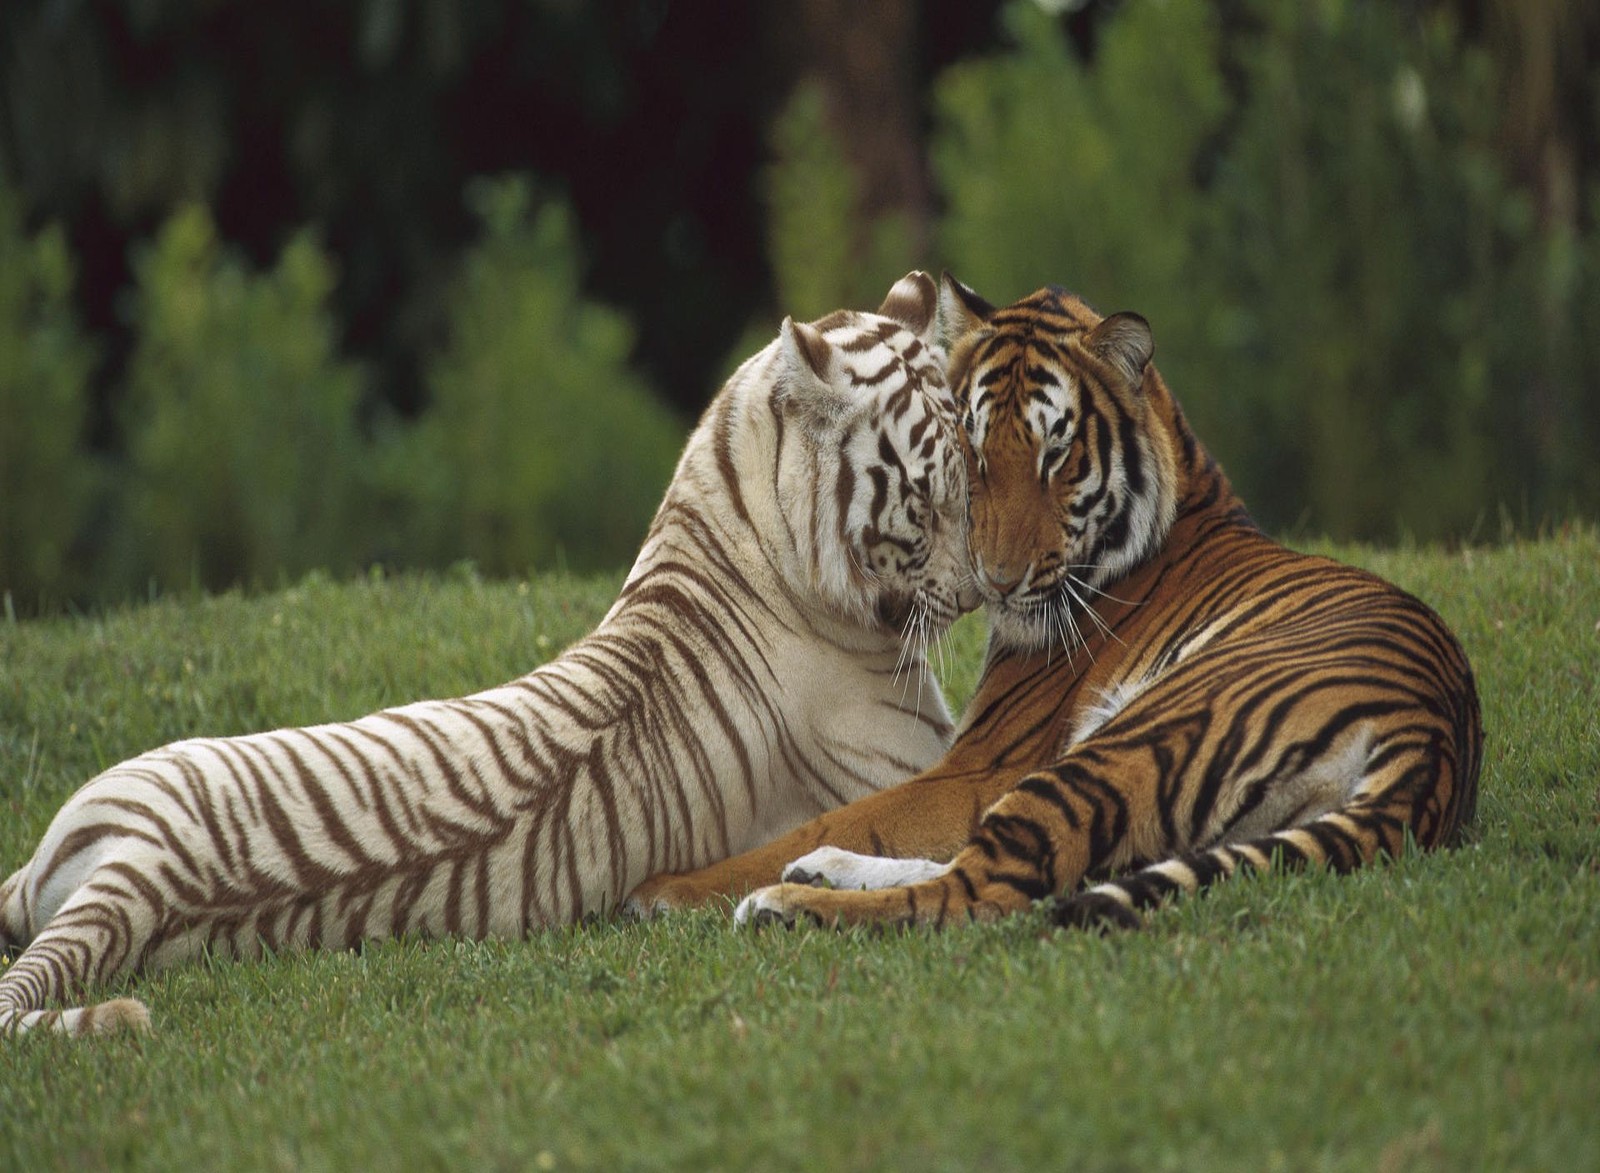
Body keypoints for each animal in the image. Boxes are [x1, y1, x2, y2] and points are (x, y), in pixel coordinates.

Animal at [627, 275, 1484, 921]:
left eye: (1057, 456)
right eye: (973, 450)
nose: (996, 581)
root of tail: (1432, 736)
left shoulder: (982, 764)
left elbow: (845, 813)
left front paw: (669, 889)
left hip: (1129, 740)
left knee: (981, 890)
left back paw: (788, 902)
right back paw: (816, 871)